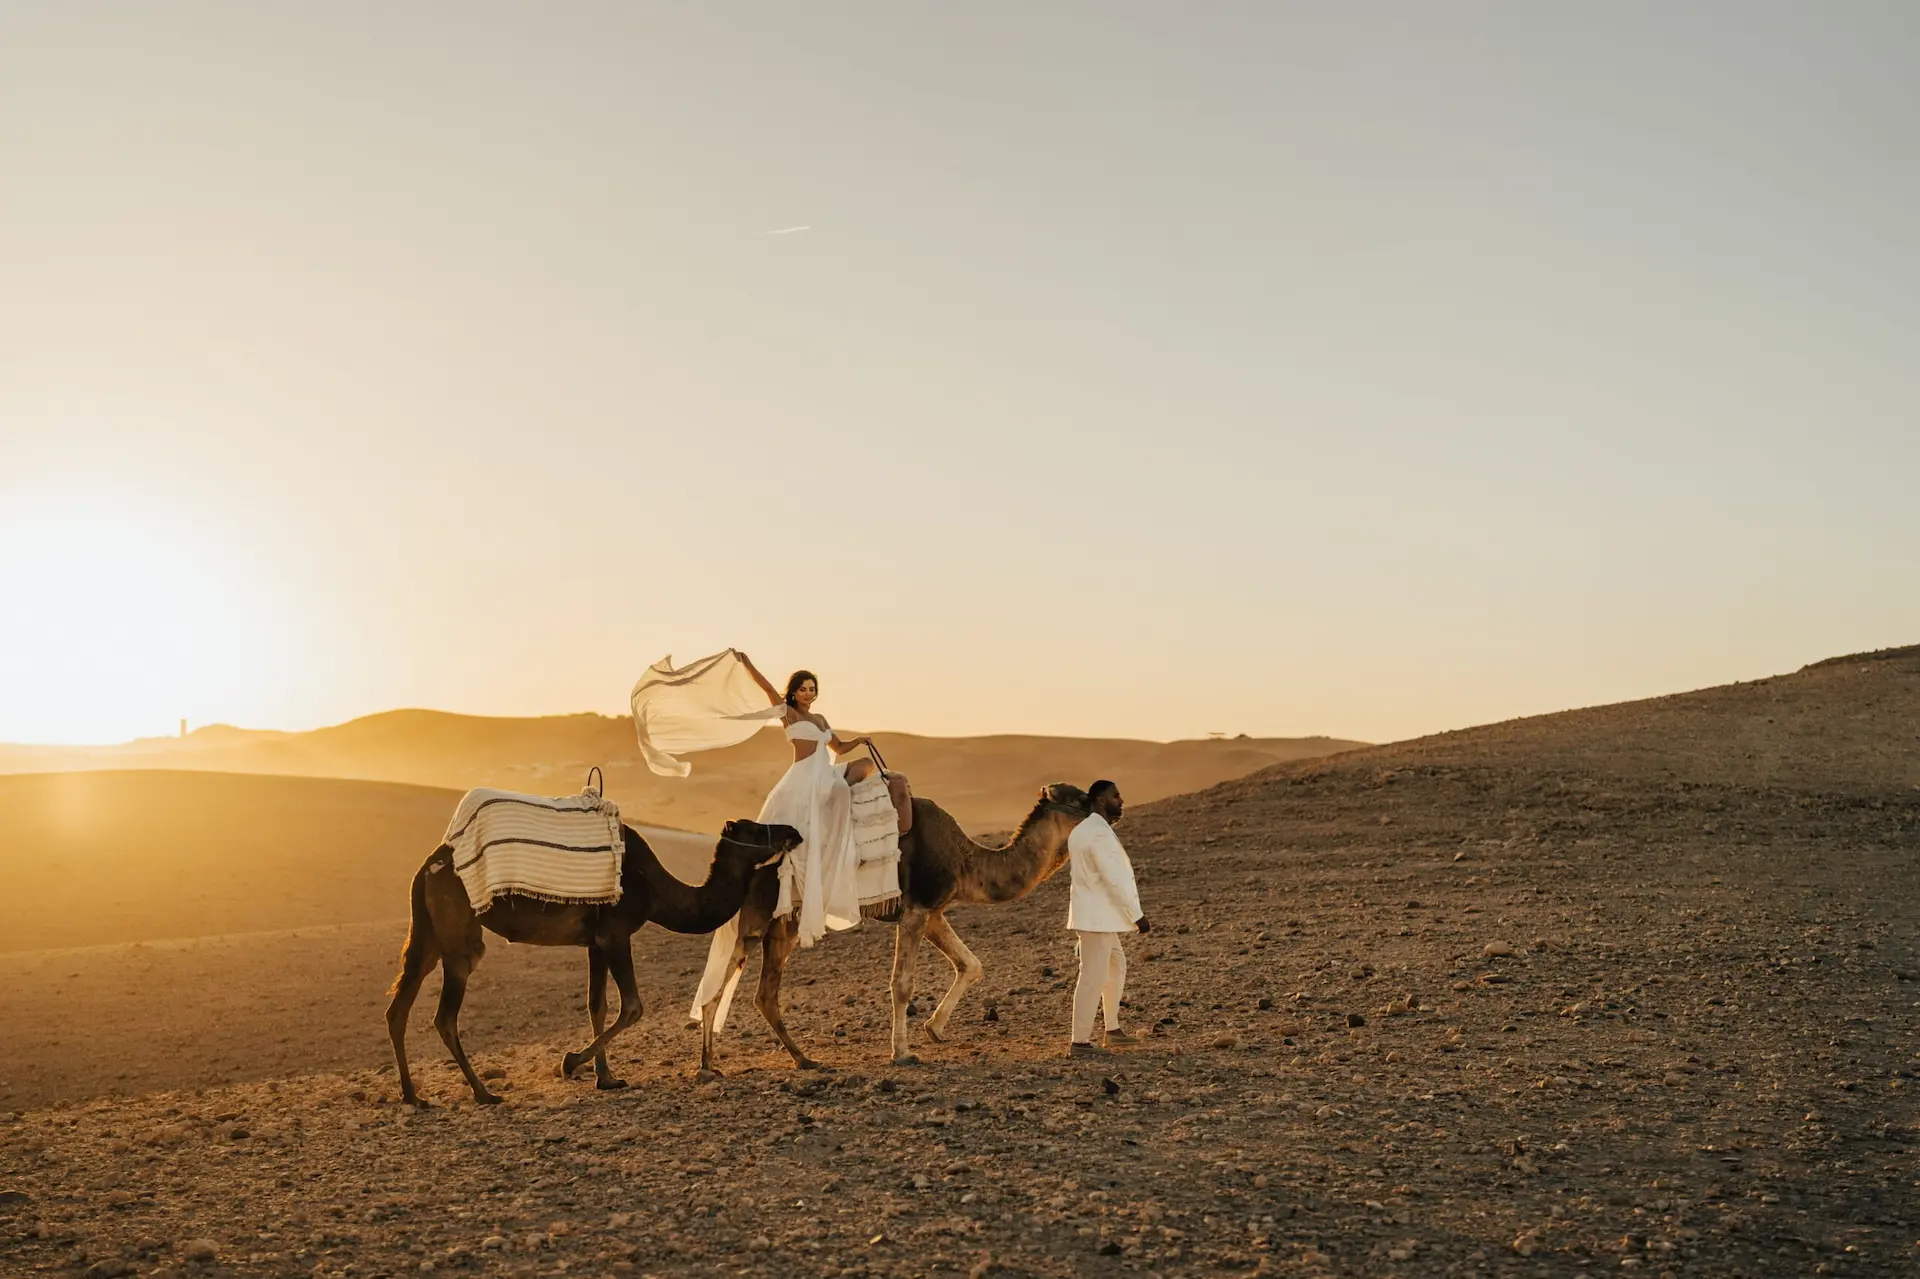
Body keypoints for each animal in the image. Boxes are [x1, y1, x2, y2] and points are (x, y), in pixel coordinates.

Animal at [388, 818, 799, 1106]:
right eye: (753, 828)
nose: (793, 831)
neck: (655, 890)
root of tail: (428, 866)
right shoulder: (616, 934)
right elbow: (632, 1006)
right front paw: (570, 1063)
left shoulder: (596, 943)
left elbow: (596, 1005)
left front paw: (606, 1077)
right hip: (459, 934)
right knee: (444, 1015)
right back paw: (483, 1093)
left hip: (428, 934)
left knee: (399, 1006)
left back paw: (413, 1096)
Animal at [696, 783, 1090, 1073]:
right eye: (1078, 799)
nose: (1104, 808)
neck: (966, 861)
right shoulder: (917, 909)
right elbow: (901, 984)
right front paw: (902, 1053)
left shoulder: (933, 912)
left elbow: (971, 964)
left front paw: (934, 1029)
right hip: (764, 917)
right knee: (735, 984)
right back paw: (722, 1064)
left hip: (779, 925)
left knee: (754, 992)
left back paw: (777, 1060)